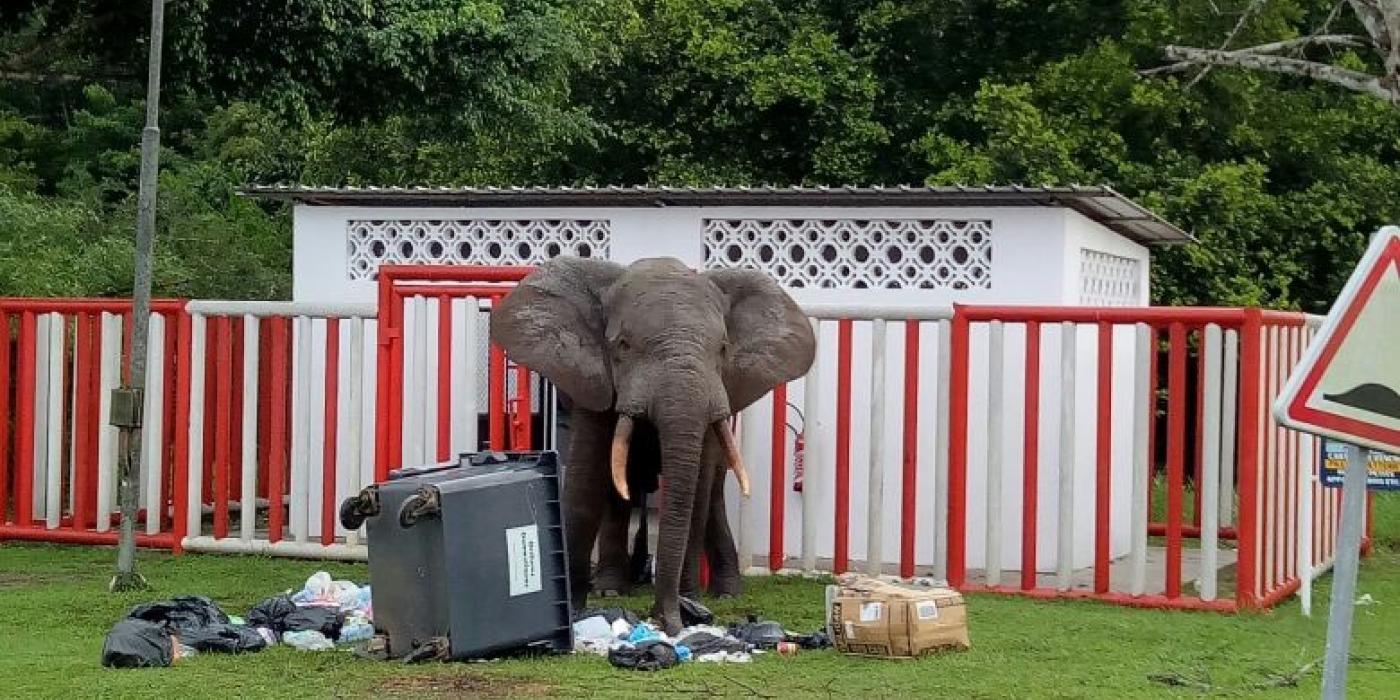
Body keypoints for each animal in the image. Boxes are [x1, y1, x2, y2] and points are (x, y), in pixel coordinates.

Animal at [492, 257, 817, 635]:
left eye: (722, 349)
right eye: (623, 346)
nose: (665, 620)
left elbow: (698, 489)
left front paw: (690, 602)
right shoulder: (594, 382)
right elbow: (587, 477)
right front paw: (575, 609)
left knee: (713, 495)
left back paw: (726, 594)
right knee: (619, 490)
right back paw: (611, 588)